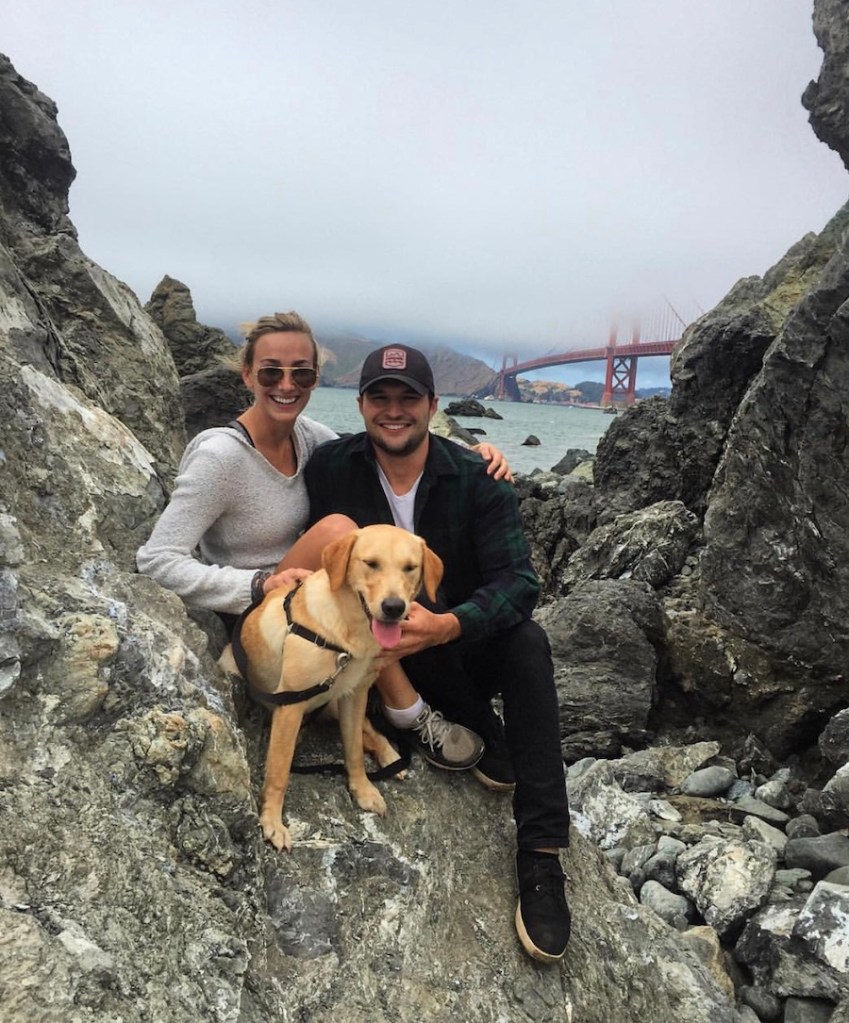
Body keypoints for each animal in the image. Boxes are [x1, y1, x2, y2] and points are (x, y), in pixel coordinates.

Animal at [222, 524, 443, 852]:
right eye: (371, 563)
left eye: (410, 567)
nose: (393, 607)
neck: (347, 635)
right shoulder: (290, 706)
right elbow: (279, 771)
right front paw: (272, 821)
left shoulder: (354, 695)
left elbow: (353, 751)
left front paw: (363, 789)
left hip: (337, 704)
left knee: (369, 729)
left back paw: (389, 755)